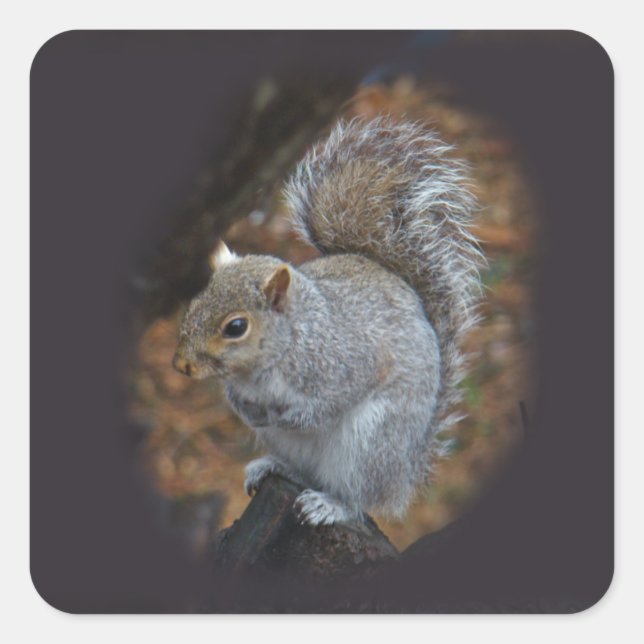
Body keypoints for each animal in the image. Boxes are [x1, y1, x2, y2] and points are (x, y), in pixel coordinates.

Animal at [173, 117, 484, 526]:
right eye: (196, 300)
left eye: (236, 327)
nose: (181, 365)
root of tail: (405, 474)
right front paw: (249, 412)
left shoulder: (346, 362)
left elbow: (335, 399)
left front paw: (291, 417)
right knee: (307, 474)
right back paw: (272, 467)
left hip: (371, 443)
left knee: (359, 498)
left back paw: (331, 504)